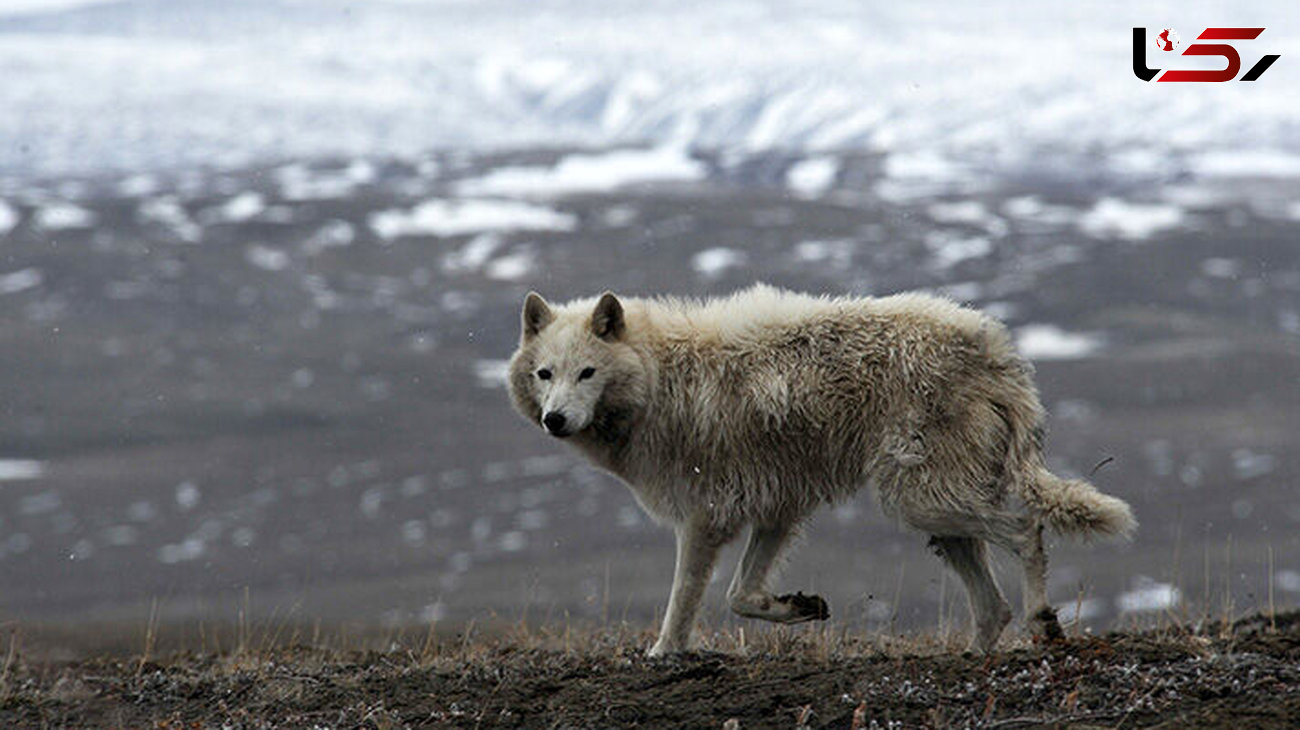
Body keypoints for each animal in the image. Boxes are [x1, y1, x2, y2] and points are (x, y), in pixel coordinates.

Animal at [501, 284, 1133, 654]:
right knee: (991, 606)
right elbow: (741, 596)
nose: (555, 420)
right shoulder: (776, 510)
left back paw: (1043, 621)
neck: (659, 383)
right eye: (544, 374)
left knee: (1026, 531)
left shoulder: (704, 520)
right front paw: (798, 607)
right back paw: (972, 657)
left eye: (586, 373)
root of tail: (994, 348)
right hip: (936, 517)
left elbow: (684, 601)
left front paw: (664, 656)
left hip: (921, 502)